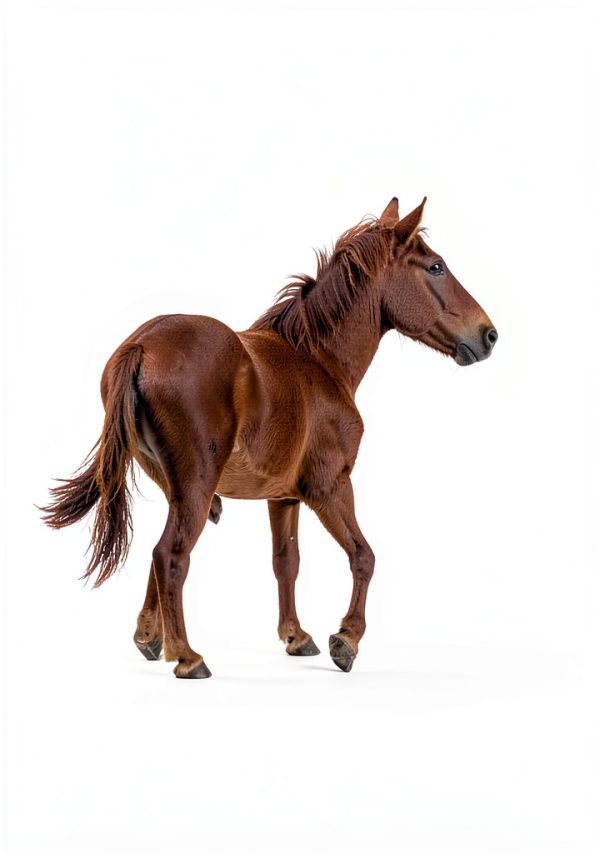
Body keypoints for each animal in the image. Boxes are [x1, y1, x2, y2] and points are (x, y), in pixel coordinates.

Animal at [42, 196, 498, 678]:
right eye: (436, 266)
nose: (488, 335)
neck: (318, 361)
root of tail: (142, 344)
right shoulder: (329, 486)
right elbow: (363, 556)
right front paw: (346, 639)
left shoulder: (284, 498)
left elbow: (287, 563)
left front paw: (296, 637)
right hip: (198, 487)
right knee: (171, 555)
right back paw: (188, 656)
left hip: (180, 491)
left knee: (159, 555)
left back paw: (153, 636)